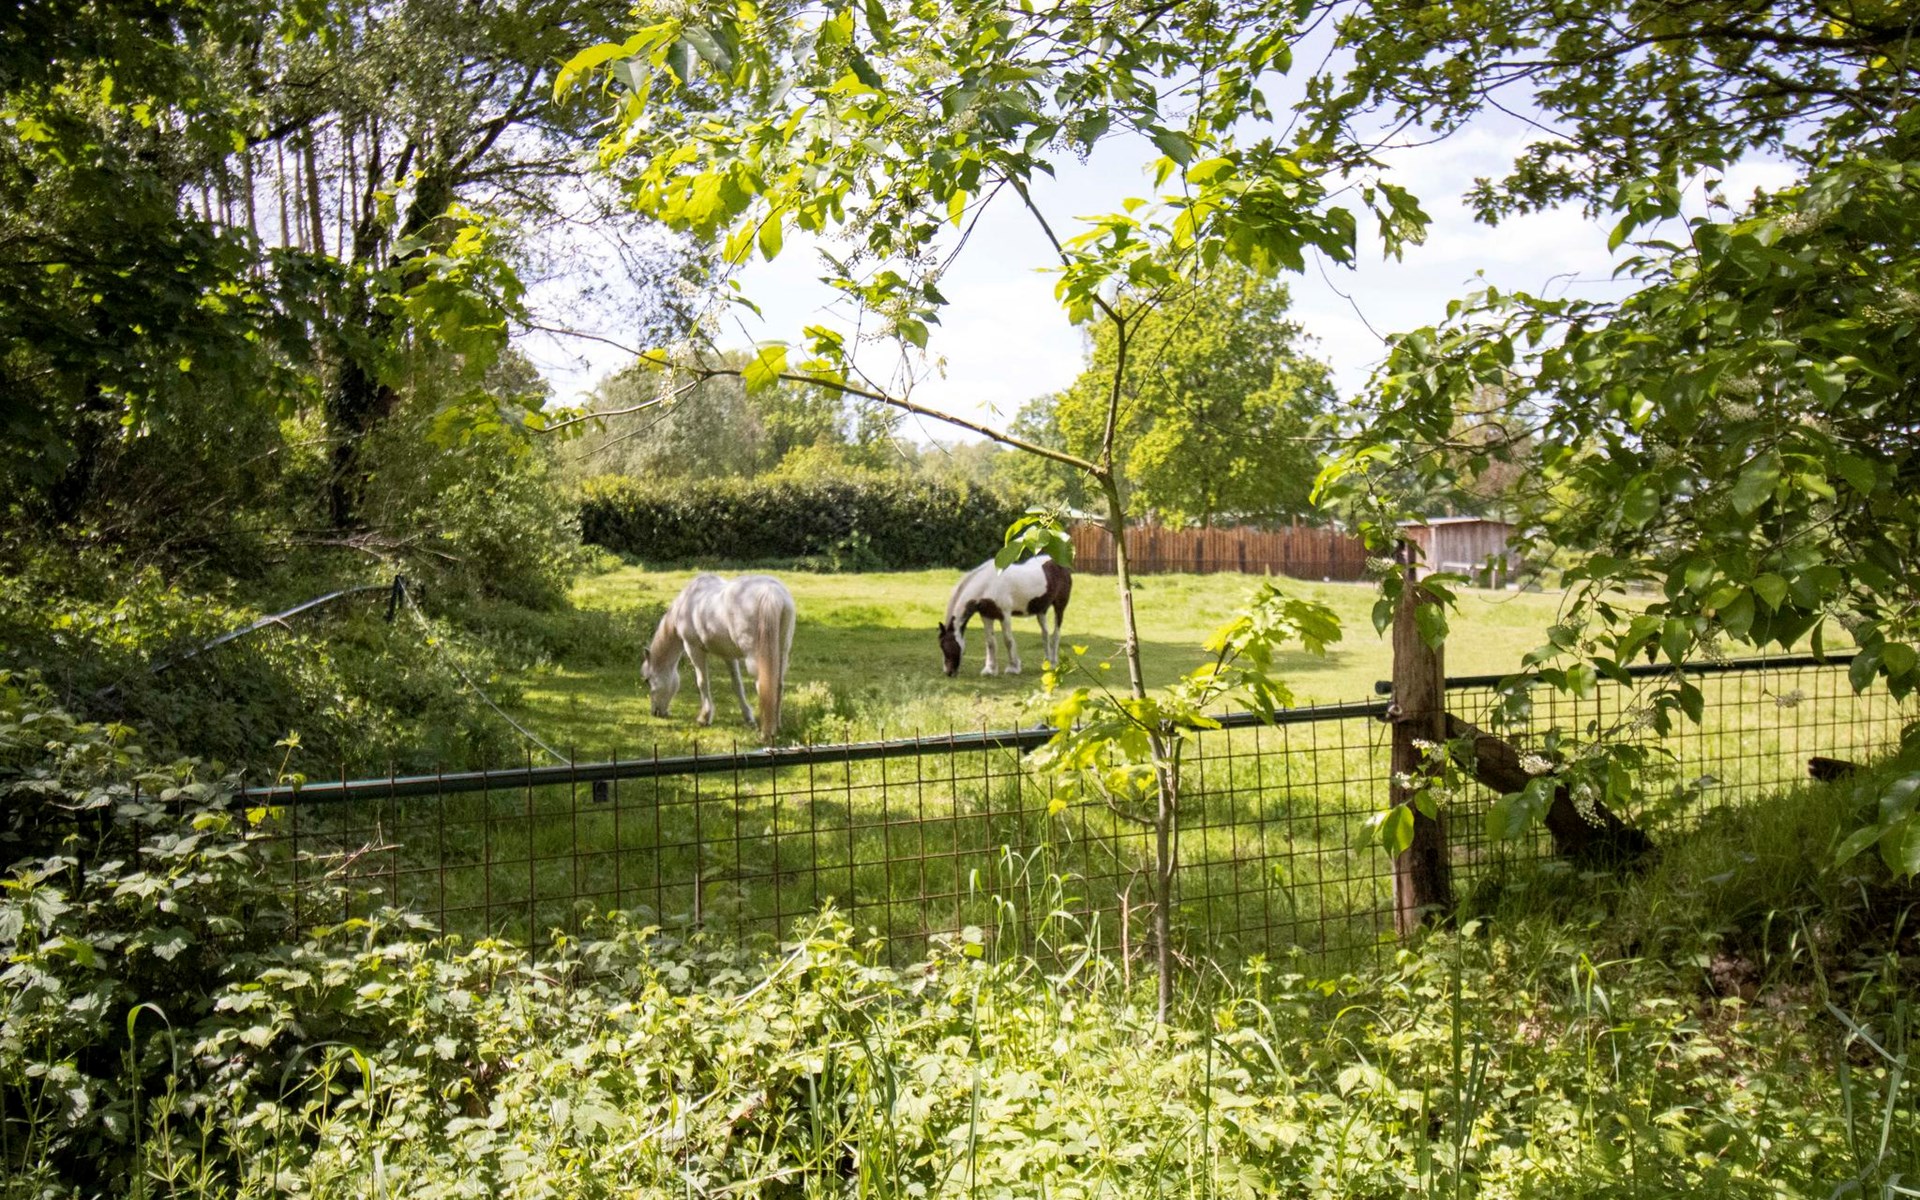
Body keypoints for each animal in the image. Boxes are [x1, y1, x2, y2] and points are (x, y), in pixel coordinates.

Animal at [642, 573, 796, 741]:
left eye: (648, 680)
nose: (656, 712)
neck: (688, 602)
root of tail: (771, 592)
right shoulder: (728, 656)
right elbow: (737, 685)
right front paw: (748, 718)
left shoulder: (693, 649)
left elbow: (702, 682)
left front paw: (704, 718)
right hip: (782, 653)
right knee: (778, 685)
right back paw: (777, 725)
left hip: (755, 658)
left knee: (763, 686)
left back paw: (766, 732)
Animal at [937, 554, 1072, 676]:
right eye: (942, 646)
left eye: (947, 646)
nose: (948, 672)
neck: (988, 584)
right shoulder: (986, 616)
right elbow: (990, 642)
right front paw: (990, 670)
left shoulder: (1004, 615)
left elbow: (1008, 640)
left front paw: (1013, 668)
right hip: (1041, 611)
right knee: (1045, 634)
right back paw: (1047, 662)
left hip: (1059, 607)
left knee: (1056, 634)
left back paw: (1053, 663)